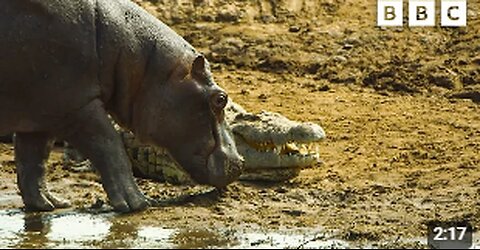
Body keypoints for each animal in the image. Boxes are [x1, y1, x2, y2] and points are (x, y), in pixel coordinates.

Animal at [0, 0, 242, 213]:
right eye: (220, 99)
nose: (240, 162)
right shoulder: (77, 107)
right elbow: (110, 146)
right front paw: (139, 203)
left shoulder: (41, 113)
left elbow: (33, 160)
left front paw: (51, 203)